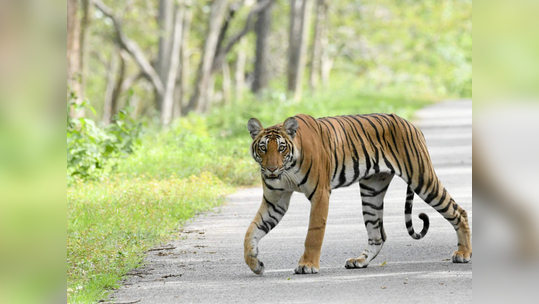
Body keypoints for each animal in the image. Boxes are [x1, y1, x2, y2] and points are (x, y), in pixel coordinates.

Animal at [245, 114, 472, 276]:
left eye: (281, 148)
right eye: (263, 148)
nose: (271, 169)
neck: (287, 169)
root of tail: (411, 124)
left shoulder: (320, 194)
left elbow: (314, 233)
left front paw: (307, 265)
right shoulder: (275, 200)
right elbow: (251, 231)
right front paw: (255, 264)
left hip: (423, 180)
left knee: (458, 211)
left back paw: (463, 254)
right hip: (371, 191)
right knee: (378, 234)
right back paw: (359, 261)